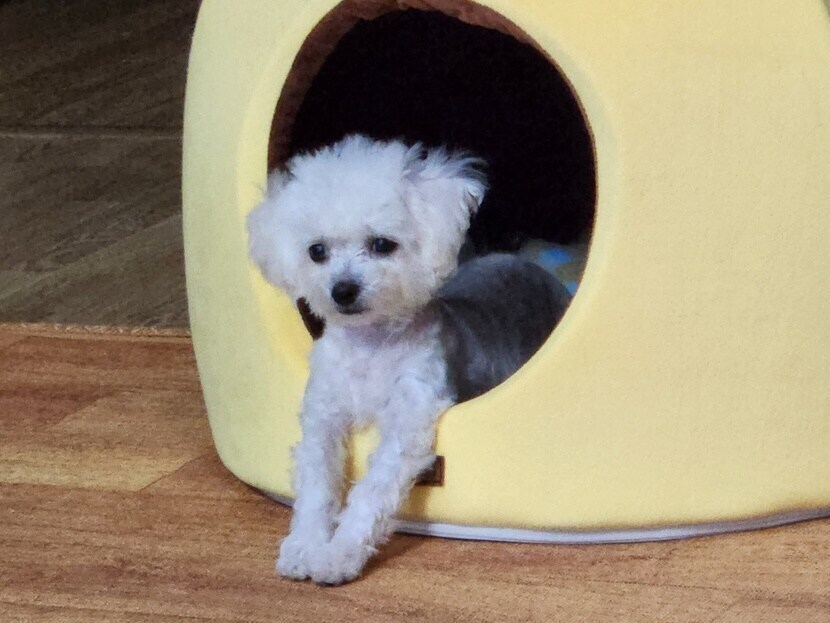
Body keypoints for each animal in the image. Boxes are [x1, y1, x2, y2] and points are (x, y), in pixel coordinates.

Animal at [247, 134, 571, 585]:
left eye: (383, 244)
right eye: (316, 251)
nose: (342, 290)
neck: (370, 346)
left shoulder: (408, 418)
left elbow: (371, 491)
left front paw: (339, 554)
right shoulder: (323, 416)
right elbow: (317, 482)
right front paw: (305, 546)